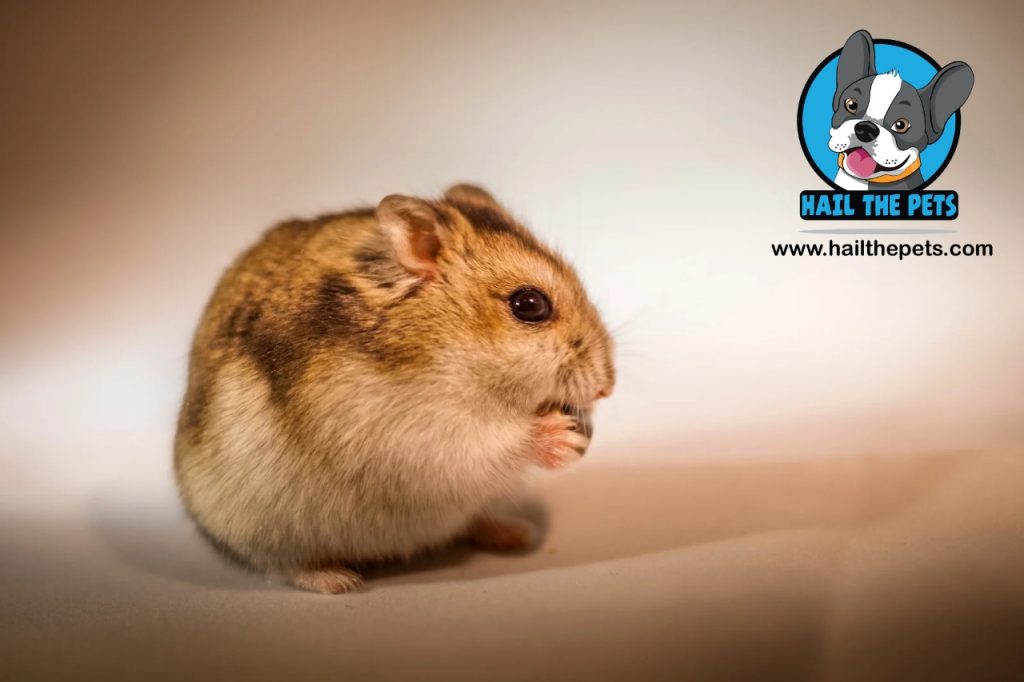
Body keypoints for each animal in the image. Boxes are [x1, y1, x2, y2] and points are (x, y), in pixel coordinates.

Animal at [174, 184, 615, 593]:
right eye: (530, 305)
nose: (607, 387)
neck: (452, 348)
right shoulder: (411, 437)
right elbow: (491, 443)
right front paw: (563, 437)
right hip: (260, 526)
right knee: (282, 564)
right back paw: (338, 581)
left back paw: (516, 533)